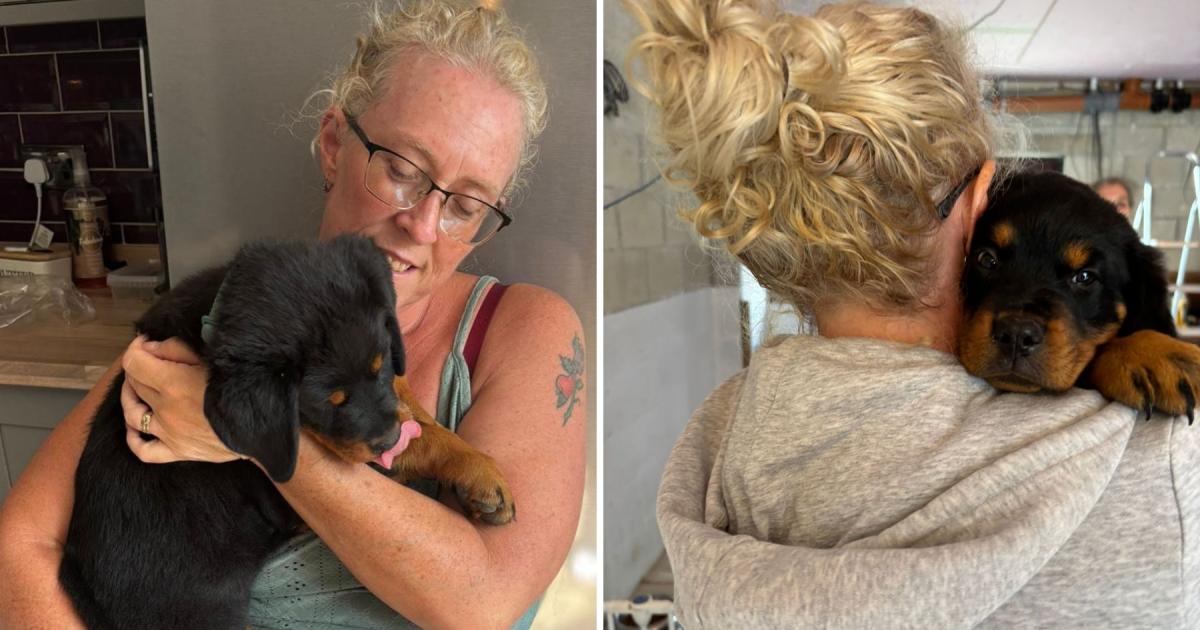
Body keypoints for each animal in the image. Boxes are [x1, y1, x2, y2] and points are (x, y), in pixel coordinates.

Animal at [59, 235, 514, 630]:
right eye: (326, 402)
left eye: (381, 361)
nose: (385, 442)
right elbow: (417, 441)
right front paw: (476, 472)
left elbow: (407, 405)